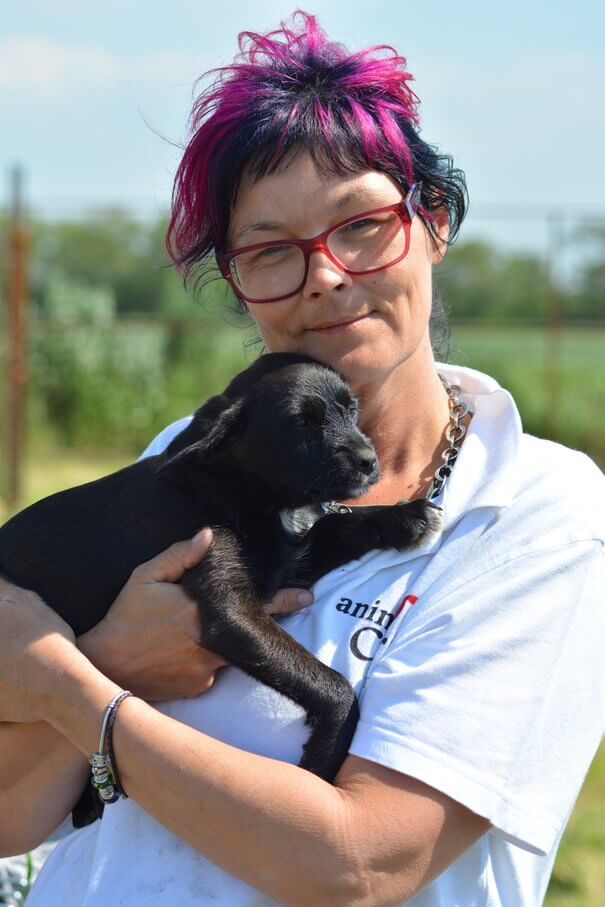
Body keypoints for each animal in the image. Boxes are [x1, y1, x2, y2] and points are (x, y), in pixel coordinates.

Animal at [0, 352, 442, 826]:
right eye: (301, 423)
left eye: (351, 409)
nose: (368, 460)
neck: (237, 487)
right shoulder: (231, 612)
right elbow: (335, 686)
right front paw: (322, 758)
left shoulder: (283, 564)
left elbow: (331, 526)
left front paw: (404, 517)